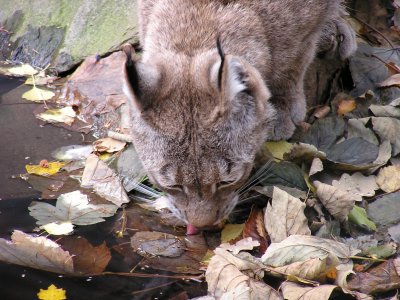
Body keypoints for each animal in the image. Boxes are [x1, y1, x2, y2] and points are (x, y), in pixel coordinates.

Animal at [122, 0, 356, 227]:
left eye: (227, 181)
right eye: (173, 185)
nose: (201, 225)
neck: (197, 29)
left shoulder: (305, 24)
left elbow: (294, 60)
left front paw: (282, 104)